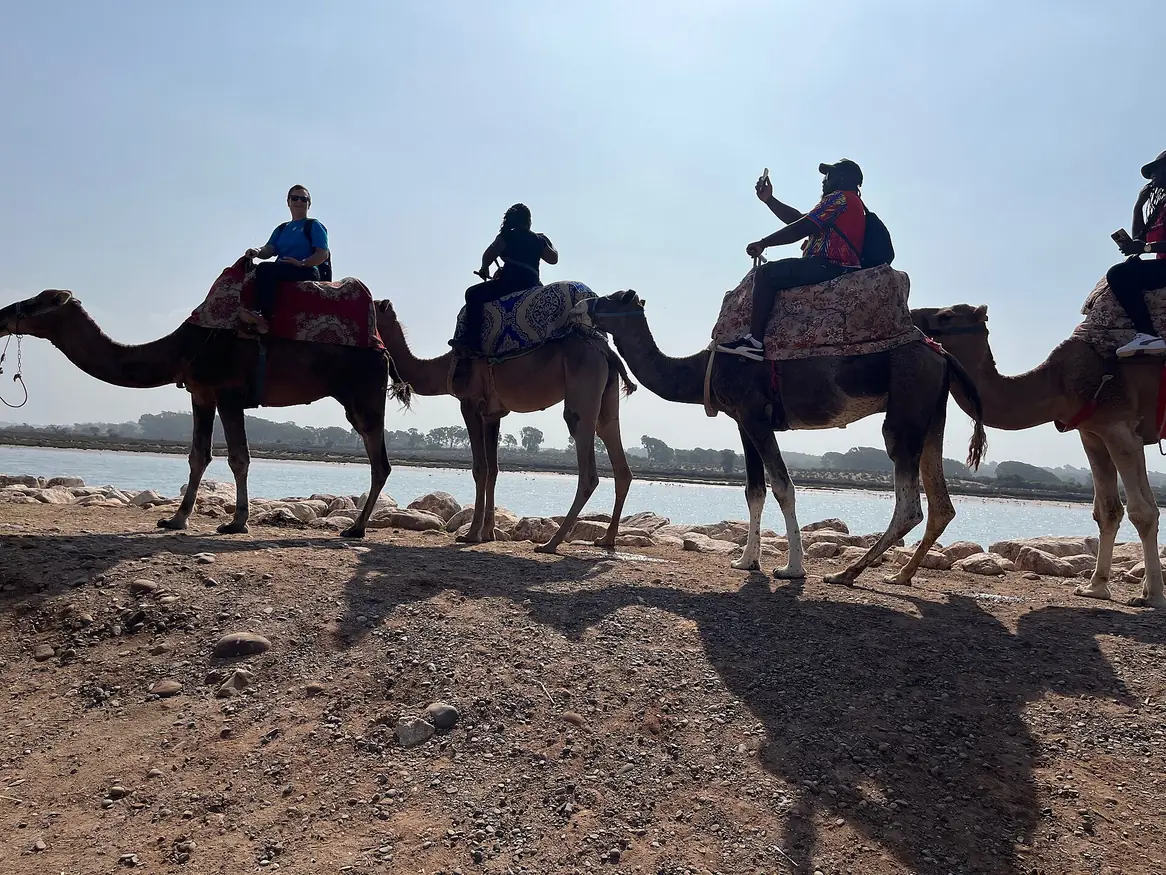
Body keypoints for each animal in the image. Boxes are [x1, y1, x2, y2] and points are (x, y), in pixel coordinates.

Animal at [0, 289, 402, 537]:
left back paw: (355, 528)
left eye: (39, 301)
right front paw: (175, 519)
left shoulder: (229, 394)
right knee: (378, 459)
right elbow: (198, 455)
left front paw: (237, 523)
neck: (182, 348)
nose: (3, 313)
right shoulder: (201, 394)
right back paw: (356, 526)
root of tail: (384, 351)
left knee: (379, 460)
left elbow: (238, 457)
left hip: (364, 394)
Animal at [374, 299, 635, 552]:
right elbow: (494, 469)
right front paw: (488, 533)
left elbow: (479, 468)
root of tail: (605, 350)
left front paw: (471, 535)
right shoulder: (493, 414)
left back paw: (551, 544)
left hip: (583, 386)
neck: (445, 367)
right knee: (614, 447)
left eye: (374, 306)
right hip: (607, 393)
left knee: (586, 461)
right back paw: (606, 538)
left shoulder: (469, 403)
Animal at [581, 290, 987, 586]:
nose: (582, 305)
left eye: (611, 297)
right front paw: (746, 561)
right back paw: (899, 575)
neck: (704, 368)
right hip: (933, 415)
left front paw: (792, 569)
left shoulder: (754, 415)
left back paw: (846, 573)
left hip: (905, 407)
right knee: (941, 502)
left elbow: (782, 486)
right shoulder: (743, 421)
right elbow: (754, 490)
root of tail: (943, 355)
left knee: (909, 503)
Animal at [912, 303, 1166, 609]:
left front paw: (1153, 596)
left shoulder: (1119, 424)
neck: (1057, 382)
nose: (912, 314)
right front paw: (1094, 588)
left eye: (947, 315)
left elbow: (1143, 511)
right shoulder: (1092, 433)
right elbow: (1107, 511)